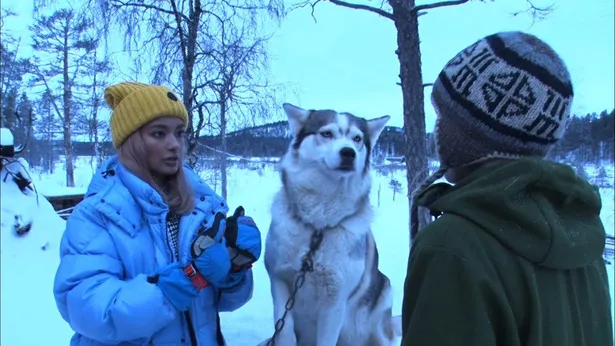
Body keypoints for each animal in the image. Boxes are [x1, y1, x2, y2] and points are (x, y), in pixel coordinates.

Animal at [262, 103, 402, 346]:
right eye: (327, 134)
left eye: (357, 138)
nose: (348, 153)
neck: (318, 226)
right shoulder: (279, 281)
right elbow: (285, 331)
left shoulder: (335, 299)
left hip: (383, 302)